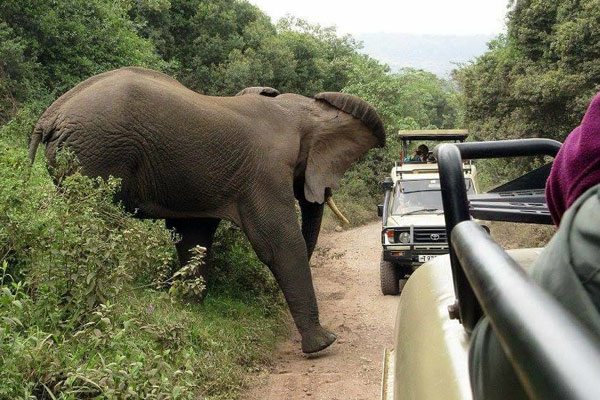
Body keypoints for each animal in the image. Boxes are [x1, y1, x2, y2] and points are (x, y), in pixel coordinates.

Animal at [29, 66, 384, 354]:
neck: (294, 111)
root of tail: (51, 113)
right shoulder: (265, 172)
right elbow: (279, 243)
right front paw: (323, 344)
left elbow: (194, 237)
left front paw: (187, 309)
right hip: (96, 155)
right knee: (95, 225)